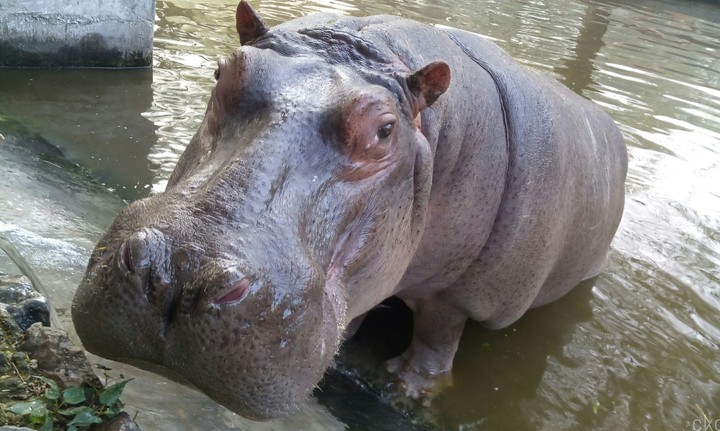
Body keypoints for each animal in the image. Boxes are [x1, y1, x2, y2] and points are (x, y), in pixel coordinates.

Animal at [72, 1, 627, 420]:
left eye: (385, 130)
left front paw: (405, 393)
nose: (178, 275)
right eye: (221, 71)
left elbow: (438, 332)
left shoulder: (459, 295)